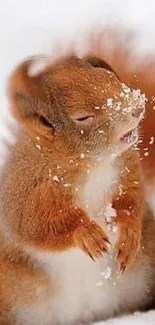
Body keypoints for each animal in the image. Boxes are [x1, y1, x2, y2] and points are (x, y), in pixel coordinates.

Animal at [0, 55, 153, 324]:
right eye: (82, 117)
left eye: (110, 77)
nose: (136, 107)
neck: (92, 164)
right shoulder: (27, 189)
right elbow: (36, 224)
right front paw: (86, 233)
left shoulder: (127, 169)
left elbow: (131, 200)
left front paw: (129, 233)